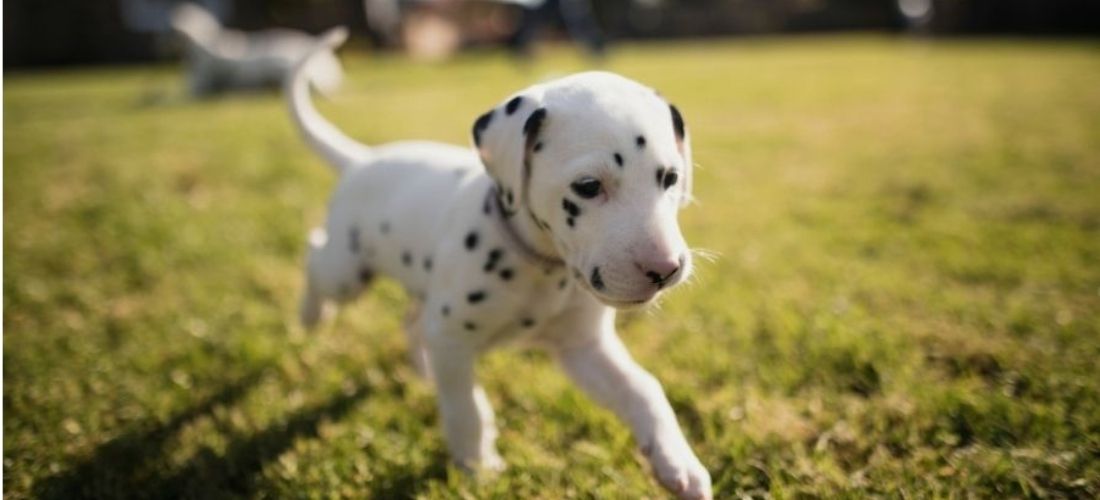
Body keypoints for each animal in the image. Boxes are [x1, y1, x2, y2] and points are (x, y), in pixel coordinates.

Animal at [288, 28, 708, 500]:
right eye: (587, 186)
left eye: (670, 179)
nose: (666, 269)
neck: (541, 265)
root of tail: (361, 160)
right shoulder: (452, 338)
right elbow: (466, 408)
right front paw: (478, 466)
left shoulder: (584, 348)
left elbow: (644, 390)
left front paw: (677, 461)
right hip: (346, 271)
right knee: (315, 254)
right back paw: (310, 315)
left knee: (411, 321)